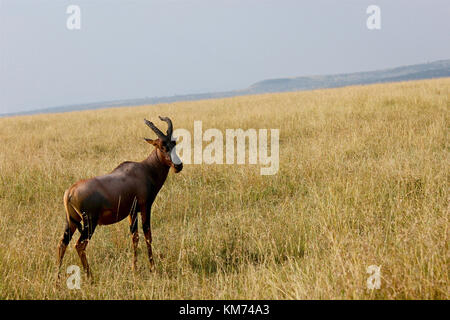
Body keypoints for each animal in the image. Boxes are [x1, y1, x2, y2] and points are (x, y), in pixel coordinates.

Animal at [56, 116, 183, 278]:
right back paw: (90, 277)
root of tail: (70, 192)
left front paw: (134, 269)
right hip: (89, 222)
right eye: (161, 146)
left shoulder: (131, 212)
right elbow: (148, 235)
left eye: (173, 143)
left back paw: (57, 278)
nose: (178, 166)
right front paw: (153, 269)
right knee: (79, 245)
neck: (144, 169)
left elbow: (134, 237)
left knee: (62, 243)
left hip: (71, 222)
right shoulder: (145, 207)